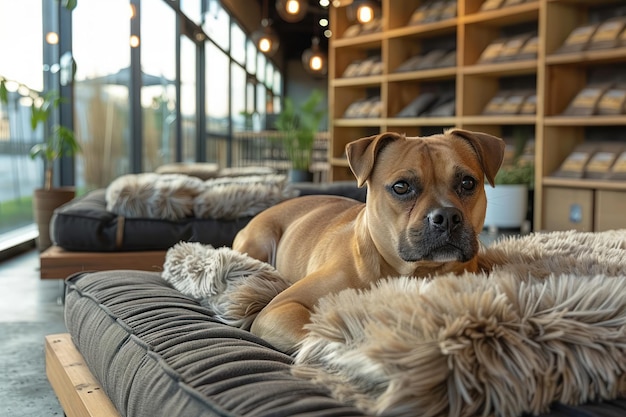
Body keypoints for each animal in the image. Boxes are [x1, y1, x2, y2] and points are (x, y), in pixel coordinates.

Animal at [232, 128, 504, 352]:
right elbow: (322, 335)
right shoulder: (282, 307)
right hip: (260, 240)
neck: (413, 272)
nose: (446, 216)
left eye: (468, 182)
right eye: (401, 187)